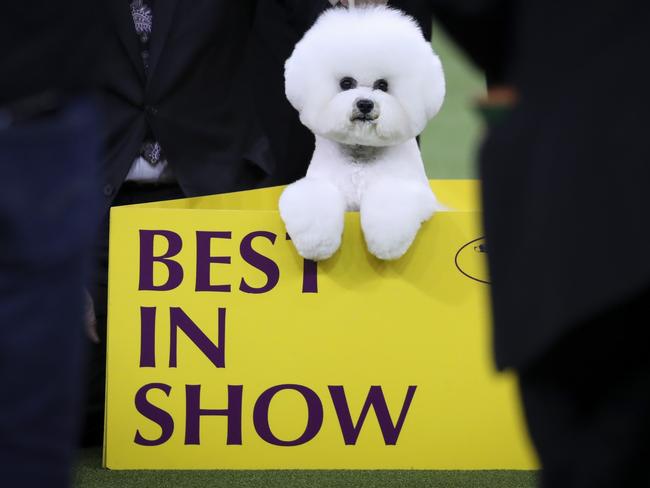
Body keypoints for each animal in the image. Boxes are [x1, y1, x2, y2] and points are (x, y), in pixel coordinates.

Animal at [278, 5, 446, 262]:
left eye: (383, 85)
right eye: (346, 83)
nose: (365, 104)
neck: (361, 155)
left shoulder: (413, 191)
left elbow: (391, 200)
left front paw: (386, 243)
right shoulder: (321, 184)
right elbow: (314, 198)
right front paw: (316, 243)